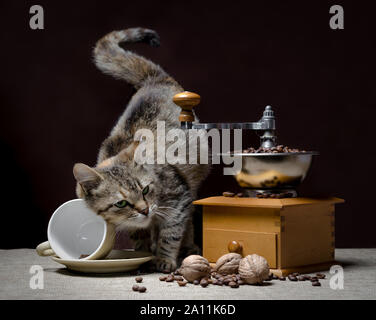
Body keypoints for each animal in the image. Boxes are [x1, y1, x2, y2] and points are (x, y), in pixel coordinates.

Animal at [72, 28, 210, 272]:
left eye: (145, 190)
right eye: (121, 203)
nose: (145, 210)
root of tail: (153, 79)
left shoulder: (178, 200)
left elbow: (171, 233)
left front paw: (164, 258)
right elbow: (139, 233)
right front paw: (143, 253)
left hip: (193, 183)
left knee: (188, 221)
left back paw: (188, 247)